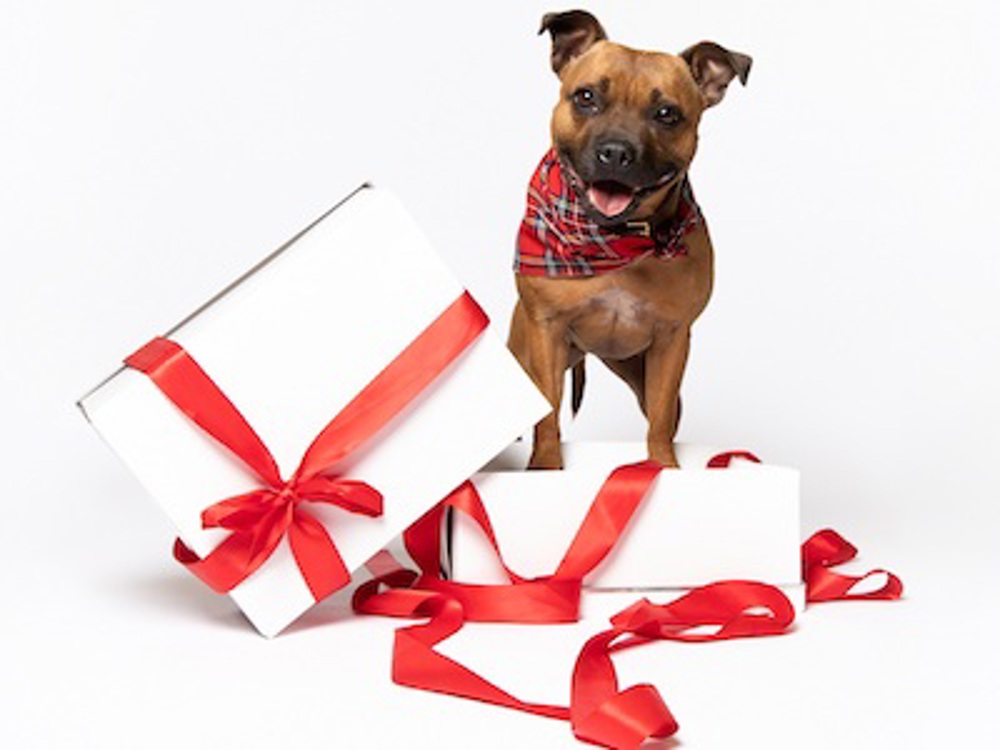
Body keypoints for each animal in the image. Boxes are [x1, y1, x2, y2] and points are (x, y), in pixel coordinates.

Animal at [508, 8, 752, 470]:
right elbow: (548, 417)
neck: (612, 241)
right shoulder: (546, 332)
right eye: (586, 97)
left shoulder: (672, 341)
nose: (617, 152)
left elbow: (659, 422)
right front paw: (545, 468)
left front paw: (662, 469)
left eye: (666, 113)